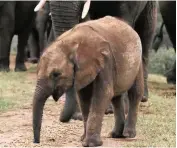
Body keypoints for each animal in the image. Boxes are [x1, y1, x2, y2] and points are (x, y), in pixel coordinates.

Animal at [32, 15, 144, 146]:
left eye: (56, 74)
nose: (36, 142)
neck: (71, 43)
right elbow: (84, 98)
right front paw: (83, 139)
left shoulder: (106, 61)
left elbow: (102, 95)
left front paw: (91, 144)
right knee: (116, 98)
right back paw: (115, 135)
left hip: (138, 62)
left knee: (134, 93)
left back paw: (128, 135)